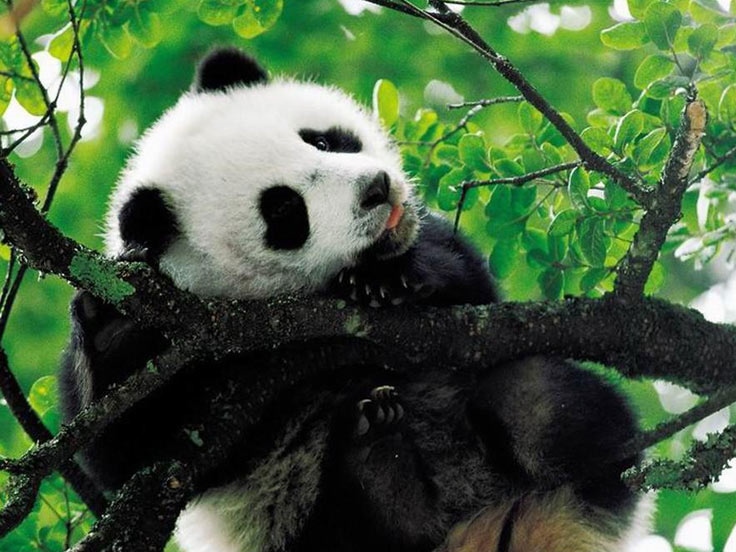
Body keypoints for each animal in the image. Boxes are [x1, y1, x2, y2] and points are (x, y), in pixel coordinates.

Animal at [59, 48, 647, 552]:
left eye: (321, 141)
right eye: (284, 212)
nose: (377, 189)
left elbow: (467, 278)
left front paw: (389, 279)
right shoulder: (201, 359)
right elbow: (127, 450)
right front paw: (109, 328)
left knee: (534, 393)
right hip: (301, 521)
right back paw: (382, 461)